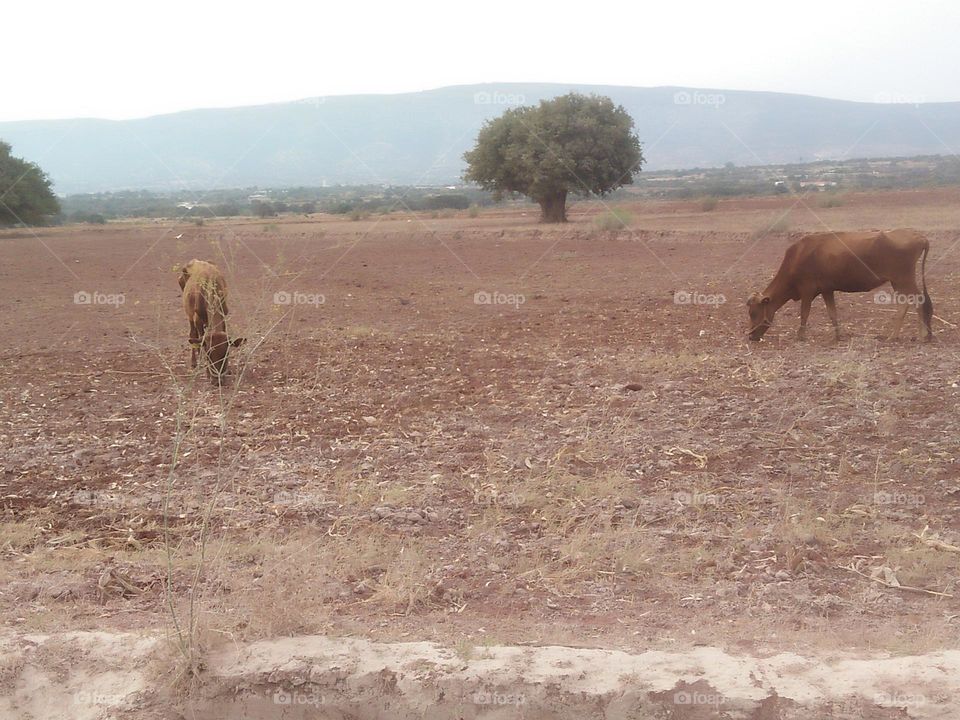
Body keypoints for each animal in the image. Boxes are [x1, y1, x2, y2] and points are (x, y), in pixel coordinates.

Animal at [747, 229, 933, 342]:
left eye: (753, 313)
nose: (751, 336)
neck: (798, 256)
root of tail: (919, 236)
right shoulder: (827, 290)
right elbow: (832, 313)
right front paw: (838, 335)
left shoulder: (807, 290)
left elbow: (804, 313)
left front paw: (800, 336)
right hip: (898, 282)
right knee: (906, 303)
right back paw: (896, 336)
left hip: (903, 279)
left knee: (917, 300)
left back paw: (919, 335)